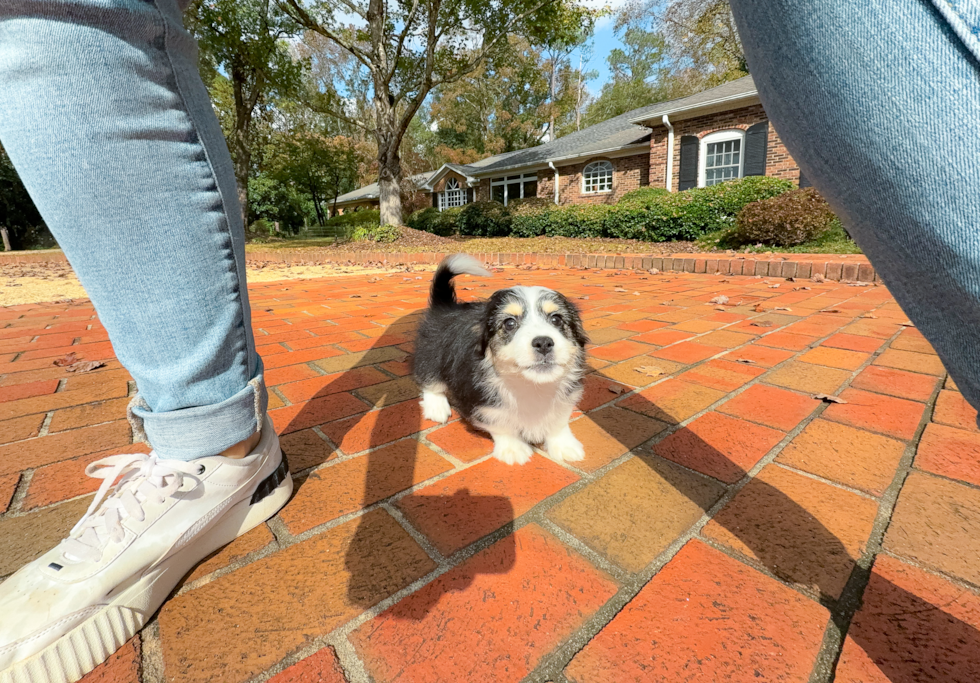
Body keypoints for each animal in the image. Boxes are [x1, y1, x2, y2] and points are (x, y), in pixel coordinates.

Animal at [414, 254, 588, 468]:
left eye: (556, 319)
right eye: (509, 323)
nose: (544, 343)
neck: (530, 385)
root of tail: (445, 307)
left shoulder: (567, 395)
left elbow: (559, 420)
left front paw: (565, 445)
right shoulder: (484, 402)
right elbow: (501, 423)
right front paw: (513, 449)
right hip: (431, 354)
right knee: (430, 380)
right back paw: (437, 407)